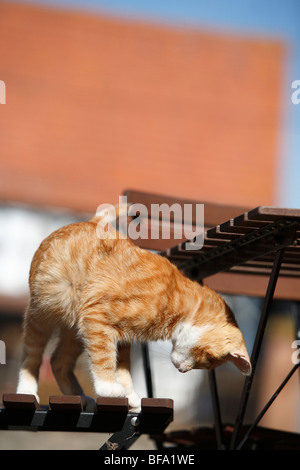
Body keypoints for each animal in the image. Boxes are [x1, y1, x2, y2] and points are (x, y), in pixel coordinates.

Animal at [16, 204, 251, 410]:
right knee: (32, 355)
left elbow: (123, 370)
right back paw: (27, 391)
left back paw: (81, 397)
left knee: (58, 361)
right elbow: (104, 358)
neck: (175, 297)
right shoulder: (97, 318)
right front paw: (108, 388)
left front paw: (131, 397)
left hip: (75, 331)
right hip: (43, 314)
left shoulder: (121, 339)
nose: (184, 371)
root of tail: (91, 222)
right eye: (208, 359)